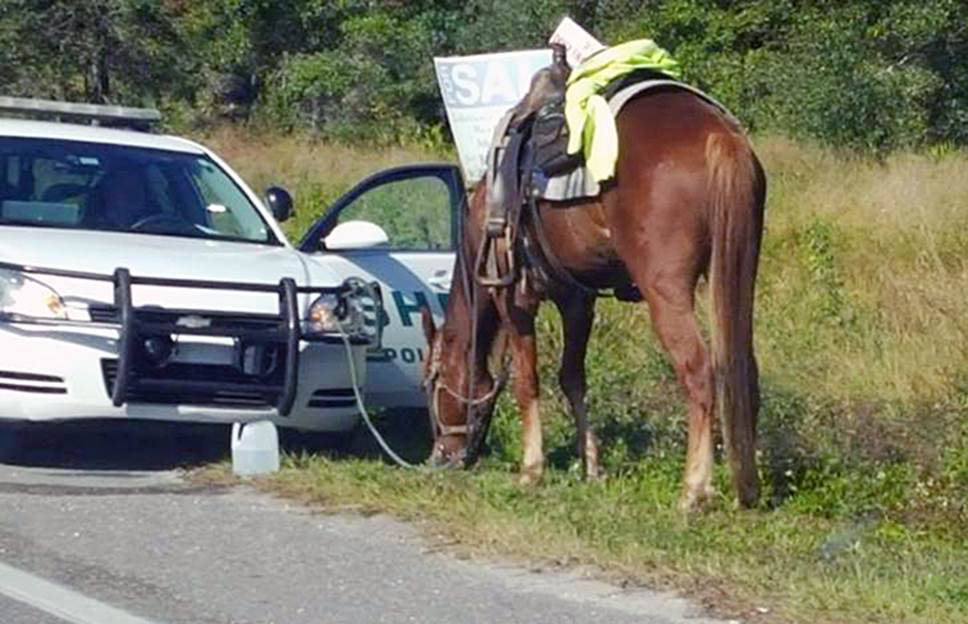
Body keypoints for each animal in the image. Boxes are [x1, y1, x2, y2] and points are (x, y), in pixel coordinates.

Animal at [420, 86, 766, 510]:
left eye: (431, 382)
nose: (439, 457)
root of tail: (719, 135)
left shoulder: (513, 298)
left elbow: (527, 381)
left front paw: (531, 469)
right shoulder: (577, 300)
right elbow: (572, 378)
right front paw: (592, 467)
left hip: (666, 292)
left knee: (699, 372)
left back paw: (693, 490)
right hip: (736, 273)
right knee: (743, 369)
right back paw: (746, 487)